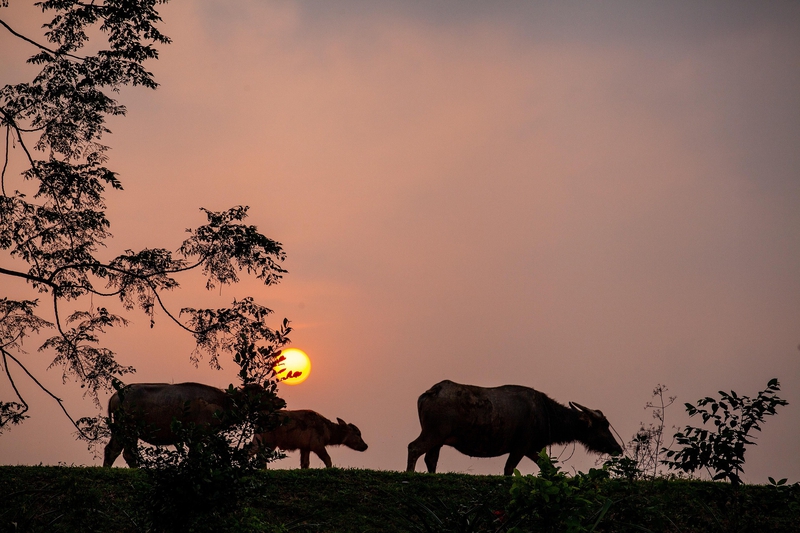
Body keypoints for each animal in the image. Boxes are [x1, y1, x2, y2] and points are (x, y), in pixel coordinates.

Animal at [103, 382, 271, 467]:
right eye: (263, 394)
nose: (276, 401)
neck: (225, 403)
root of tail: (117, 395)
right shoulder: (201, 435)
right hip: (129, 429)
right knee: (129, 454)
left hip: (122, 431)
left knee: (112, 450)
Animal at [407, 380, 622, 475]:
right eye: (603, 425)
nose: (617, 448)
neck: (546, 414)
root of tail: (431, 392)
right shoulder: (520, 446)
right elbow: (509, 468)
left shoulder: (531, 448)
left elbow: (549, 468)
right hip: (434, 433)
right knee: (414, 448)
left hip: (439, 440)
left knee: (431, 459)